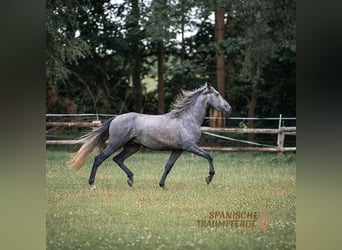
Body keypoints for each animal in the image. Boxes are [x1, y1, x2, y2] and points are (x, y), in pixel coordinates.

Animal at [68, 83, 231, 188]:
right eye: (217, 94)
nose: (229, 108)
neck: (187, 119)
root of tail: (115, 118)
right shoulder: (190, 146)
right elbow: (209, 156)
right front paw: (208, 178)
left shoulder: (178, 150)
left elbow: (168, 166)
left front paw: (162, 185)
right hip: (116, 144)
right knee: (99, 159)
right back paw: (92, 184)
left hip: (132, 147)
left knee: (117, 159)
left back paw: (131, 180)